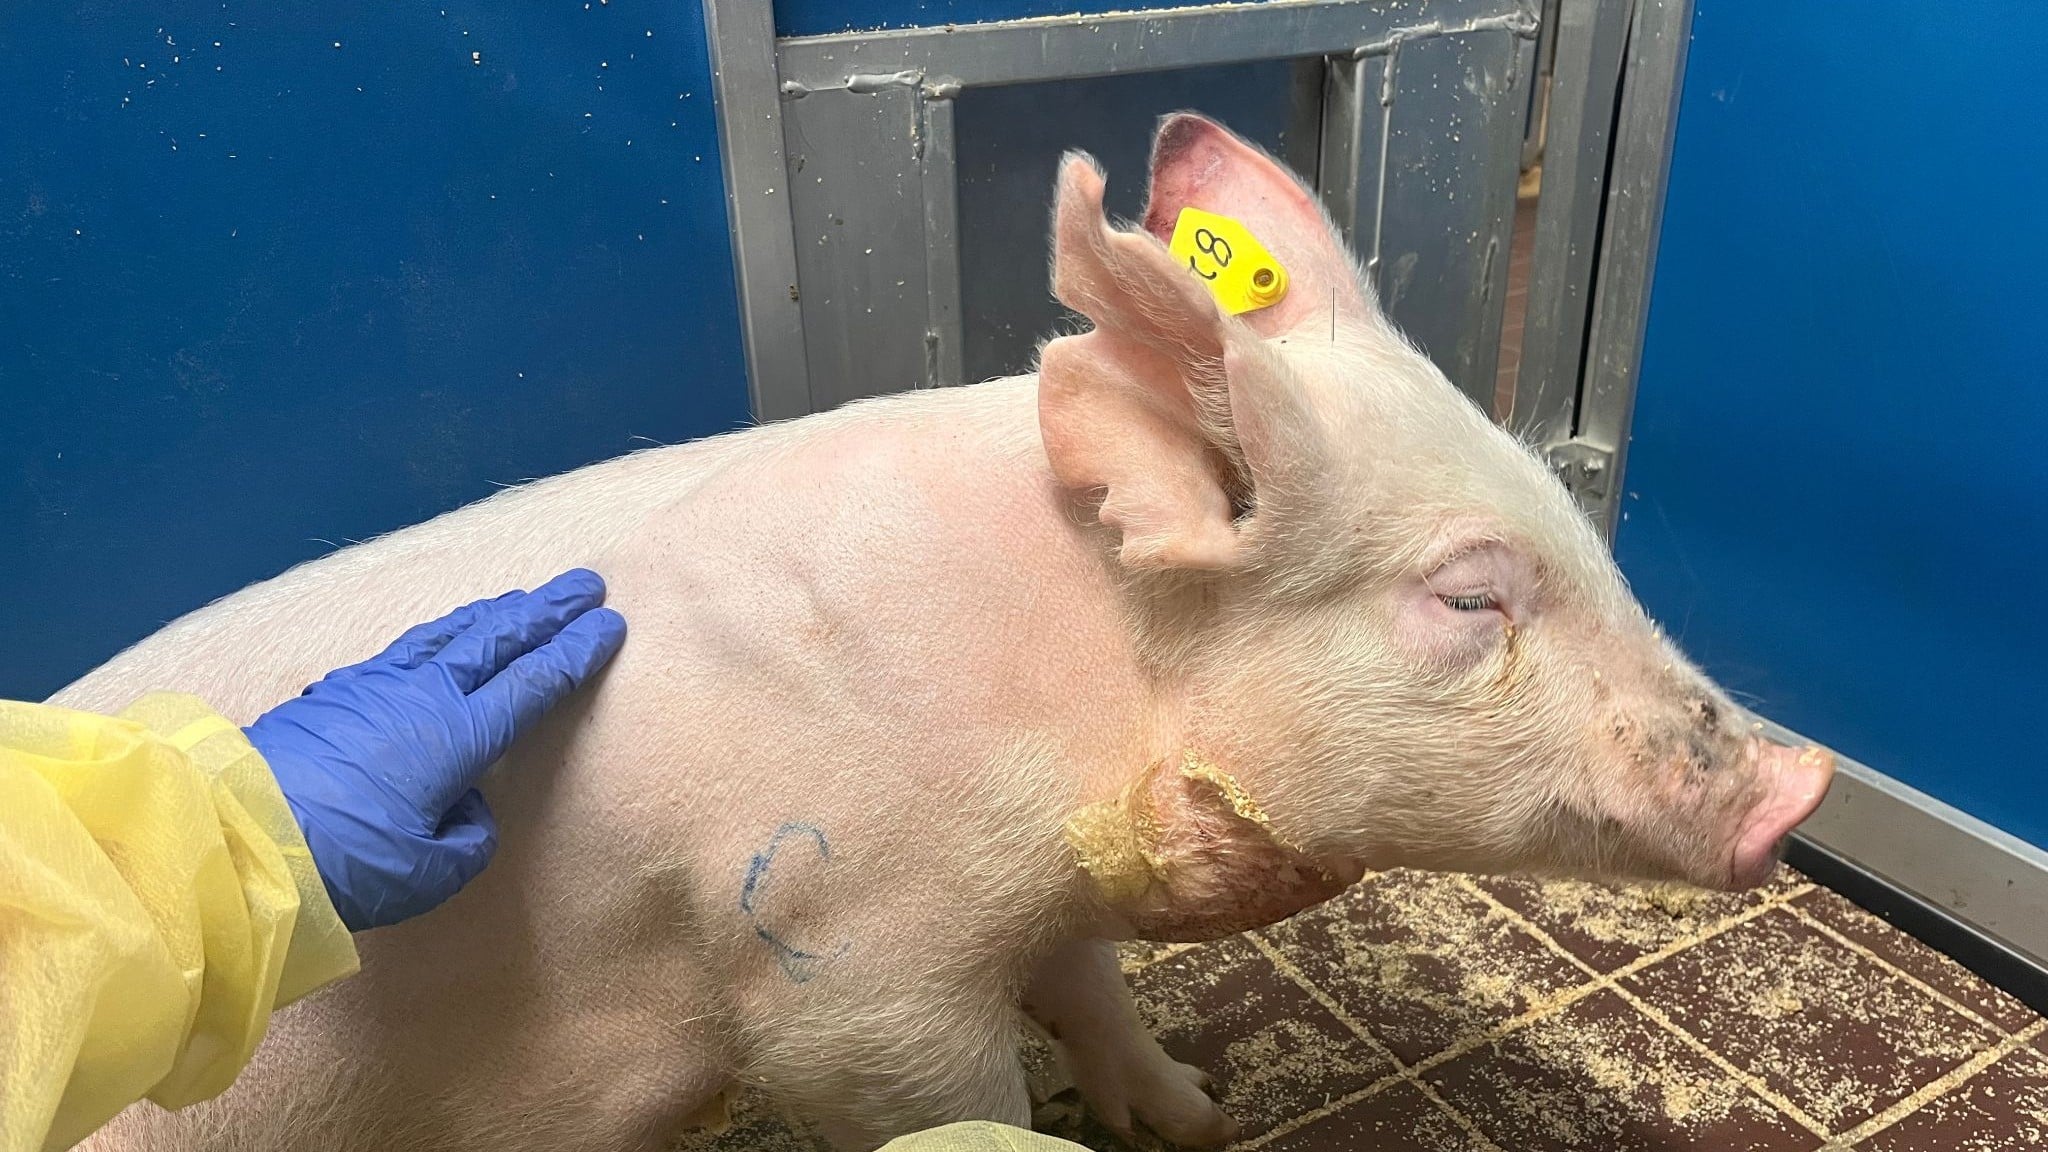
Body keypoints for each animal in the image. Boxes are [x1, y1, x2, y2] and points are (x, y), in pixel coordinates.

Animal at [60, 113, 1831, 1152]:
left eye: (1565, 514)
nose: (1802, 782)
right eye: (1471, 595)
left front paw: (1198, 1113)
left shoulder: (1037, 888)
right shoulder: (836, 952)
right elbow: (932, 1097)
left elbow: (1096, 989)